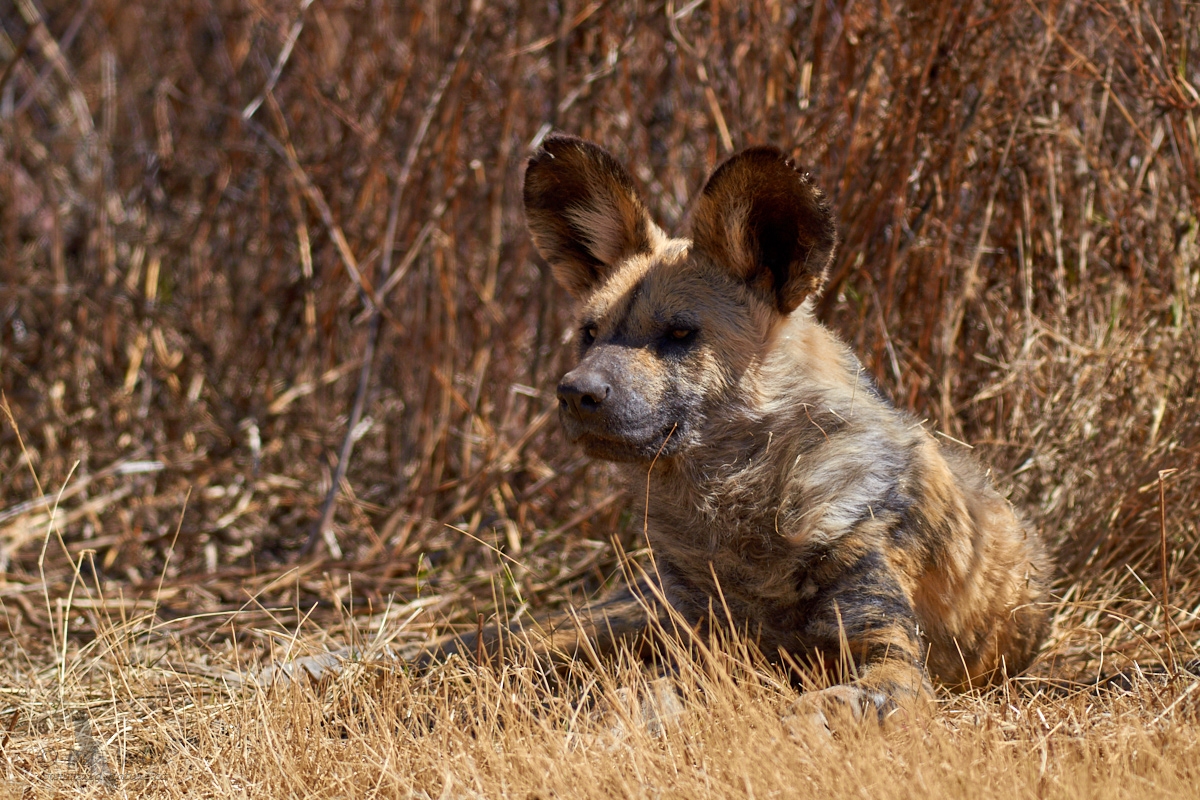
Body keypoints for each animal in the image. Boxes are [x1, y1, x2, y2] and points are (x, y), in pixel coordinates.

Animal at [444, 134, 1051, 724]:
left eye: (680, 333)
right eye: (589, 334)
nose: (575, 392)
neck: (736, 506)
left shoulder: (892, 660)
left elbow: (825, 709)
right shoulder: (693, 651)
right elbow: (638, 698)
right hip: (609, 623)